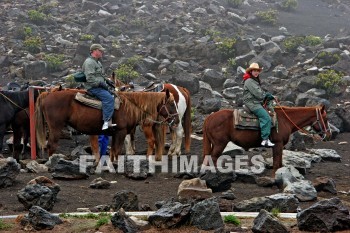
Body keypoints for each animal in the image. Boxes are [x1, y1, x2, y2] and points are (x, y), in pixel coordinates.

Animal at [35, 89, 179, 162]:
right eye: (171, 103)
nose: (177, 120)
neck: (130, 106)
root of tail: (47, 94)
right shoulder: (121, 132)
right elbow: (116, 150)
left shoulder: (115, 134)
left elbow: (113, 151)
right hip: (55, 127)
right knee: (51, 145)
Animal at [202, 105, 330, 173]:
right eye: (326, 118)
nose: (329, 134)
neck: (285, 120)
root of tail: (210, 117)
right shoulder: (278, 144)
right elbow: (276, 164)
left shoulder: (278, 146)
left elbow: (279, 163)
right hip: (220, 144)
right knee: (213, 158)